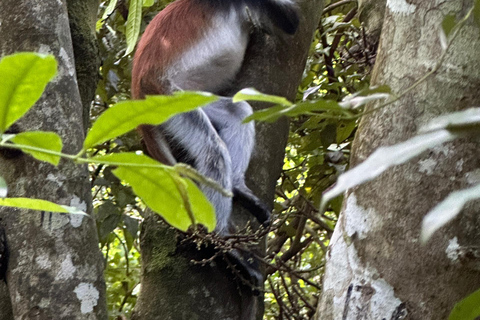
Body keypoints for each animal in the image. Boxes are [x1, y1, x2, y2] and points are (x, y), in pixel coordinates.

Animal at [129, 0, 298, 235]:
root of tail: (138, 90)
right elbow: (290, 21)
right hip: (167, 101)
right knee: (213, 152)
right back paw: (218, 235)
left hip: (187, 99)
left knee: (238, 112)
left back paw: (237, 188)